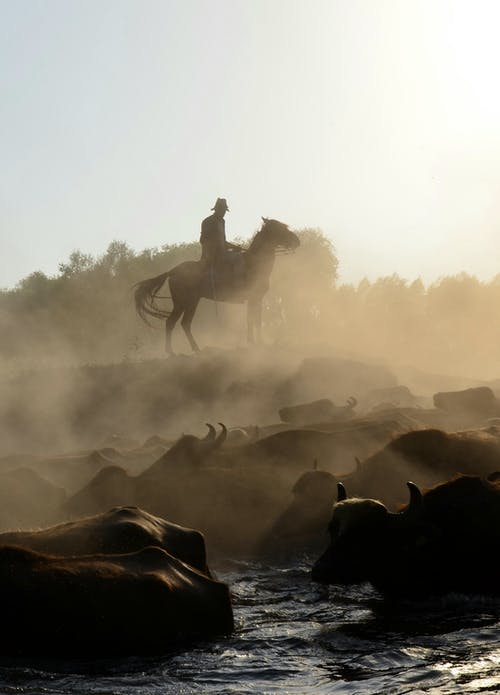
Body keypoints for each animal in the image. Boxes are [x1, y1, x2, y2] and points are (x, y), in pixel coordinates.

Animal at [133, 218, 298, 356]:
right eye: (280, 229)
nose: (297, 241)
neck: (254, 263)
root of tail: (173, 271)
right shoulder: (253, 298)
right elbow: (253, 320)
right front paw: (256, 343)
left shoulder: (257, 299)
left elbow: (255, 319)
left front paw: (257, 342)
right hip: (184, 303)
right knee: (173, 322)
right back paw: (173, 352)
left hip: (191, 302)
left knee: (184, 323)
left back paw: (195, 349)